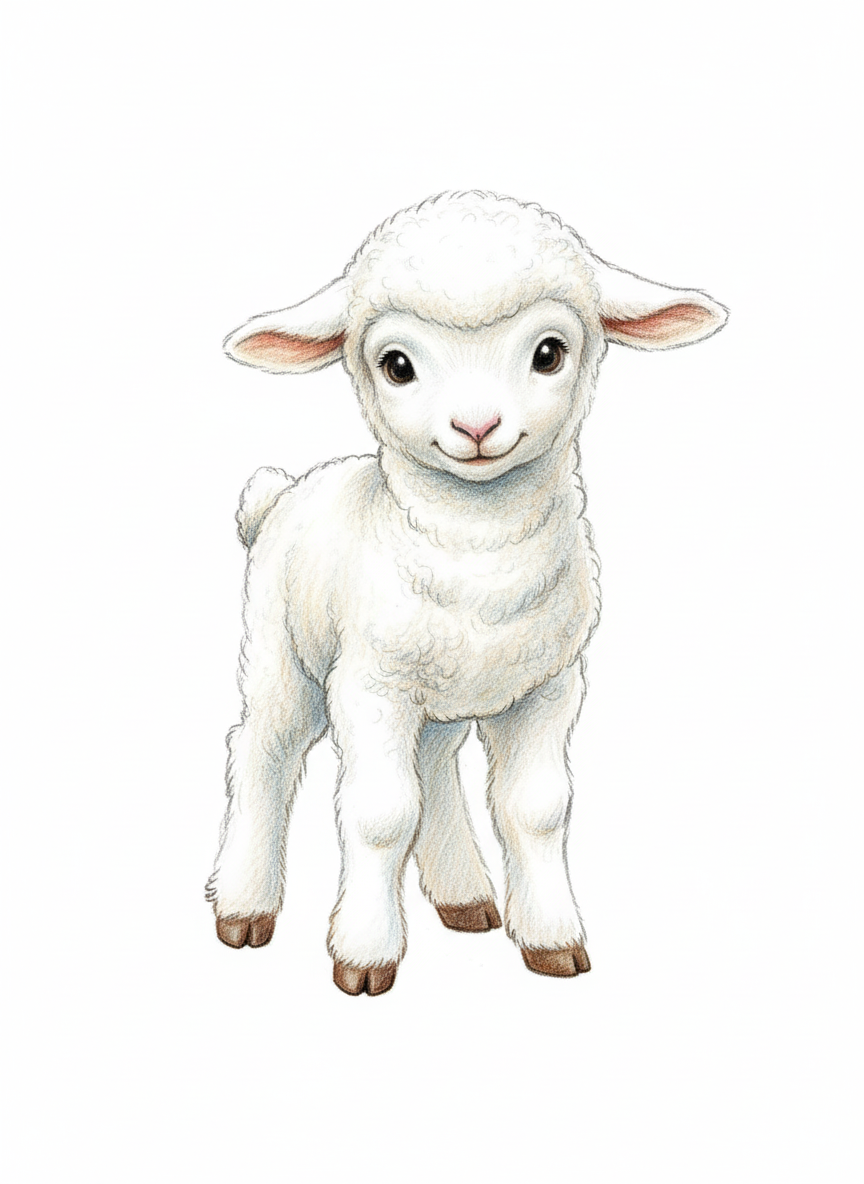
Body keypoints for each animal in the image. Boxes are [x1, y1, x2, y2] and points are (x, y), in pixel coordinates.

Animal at [207, 190, 727, 995]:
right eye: (395, 364)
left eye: (549, 353)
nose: (476, 426)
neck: (482, 561)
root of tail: (281, 493)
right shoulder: (372, 684)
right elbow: (381, 816)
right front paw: (364, 955)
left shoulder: (549, 684)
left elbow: (537, 809)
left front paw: (551, 940)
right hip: (280, 653)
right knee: (262, 752)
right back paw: (243, 904)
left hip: (442, 699)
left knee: (433, 767)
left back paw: (464, 897)